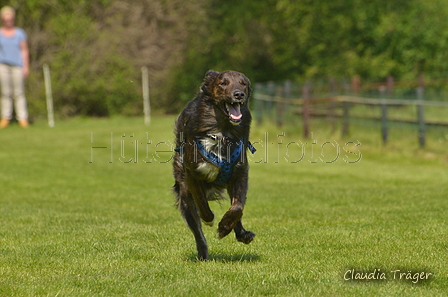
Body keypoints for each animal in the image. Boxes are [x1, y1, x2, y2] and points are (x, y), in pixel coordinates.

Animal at [172, 69, 256, 260]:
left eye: (243, 83)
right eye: (223, 83)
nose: (238, 94)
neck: (223, 131)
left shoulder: (240, 172)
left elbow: (238, 206)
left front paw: (225, 227)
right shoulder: (192, 175)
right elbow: (202, 204)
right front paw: (209, 219)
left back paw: (241, 233)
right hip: (184, 192)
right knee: (197, 231)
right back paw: (203, 254)